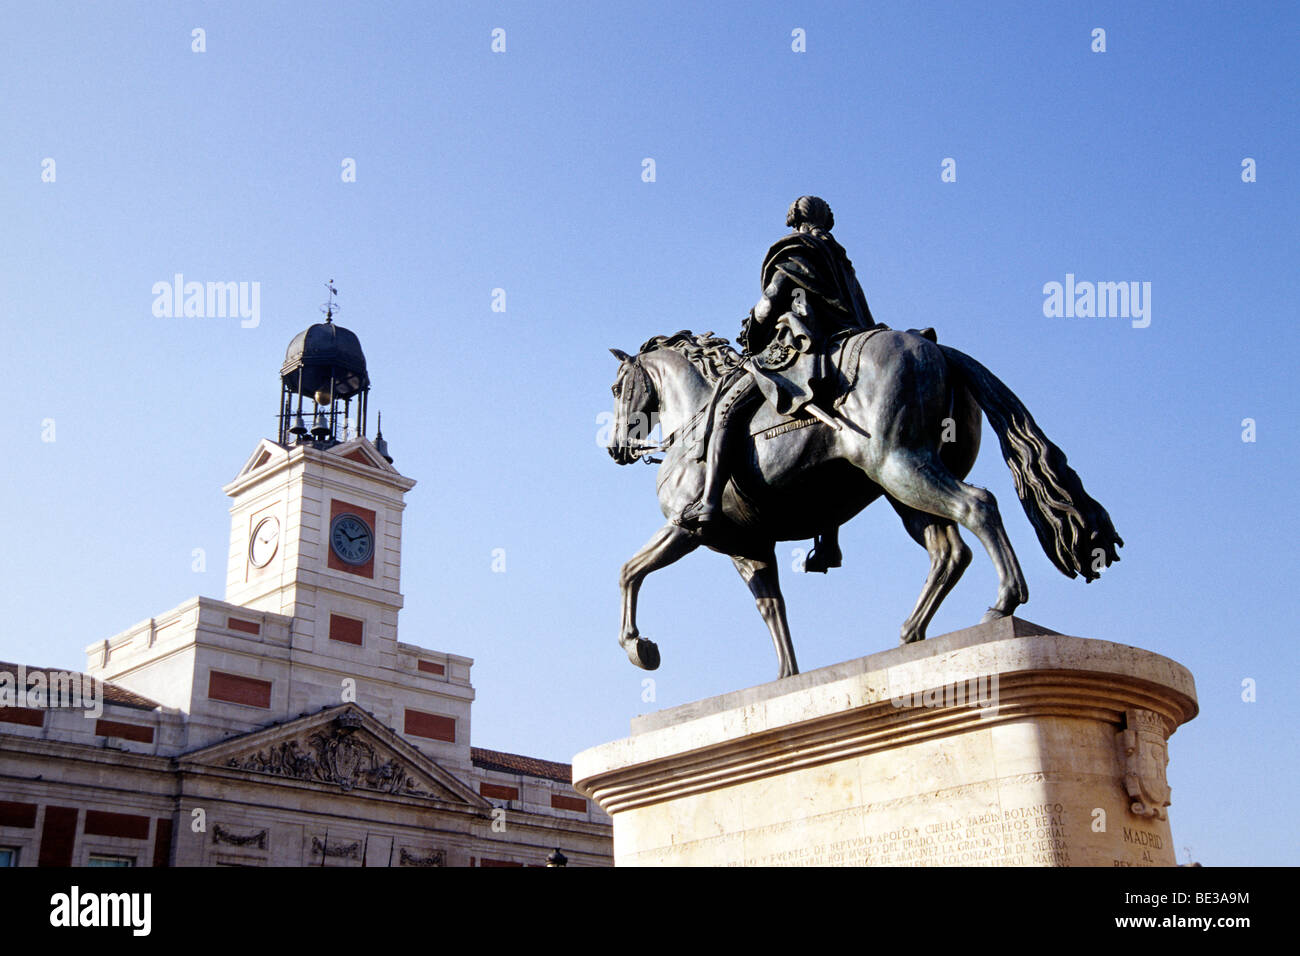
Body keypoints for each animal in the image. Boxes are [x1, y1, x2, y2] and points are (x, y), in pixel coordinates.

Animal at [603, 329, 1123, 681]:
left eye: (616, 388)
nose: (615, 448)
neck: (694, 420)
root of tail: (934, 347)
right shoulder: (748, 548)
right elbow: (772, 608)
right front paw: (787, 677)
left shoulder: (686, 529)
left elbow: (629, 570)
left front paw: (638, 648)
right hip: (906, 490)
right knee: (950, 551)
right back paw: (911, 634)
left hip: (899, 465)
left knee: (979, 506)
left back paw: (1003, 604)